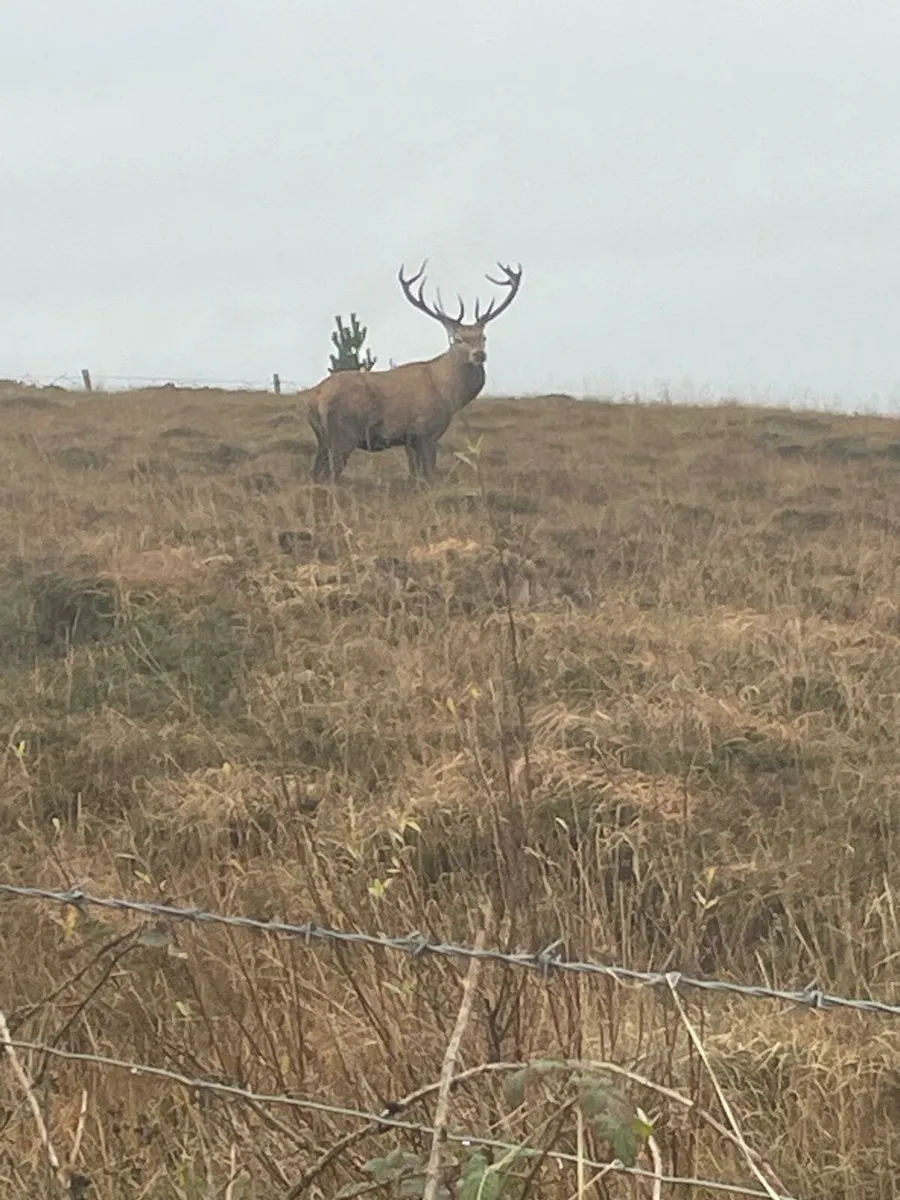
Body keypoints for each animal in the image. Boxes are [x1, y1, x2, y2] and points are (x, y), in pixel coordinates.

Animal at [304, 260, 523, 483]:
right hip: (343, 434)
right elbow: (429, 476)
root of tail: (317, 397)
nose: (479, 354)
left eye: (483, 337)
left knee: (315, 474)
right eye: (458, 339)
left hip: (322, 439)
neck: (450, 395)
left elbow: (415, 476)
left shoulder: (409, 440)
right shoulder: (426, 432)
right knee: (331, 476)